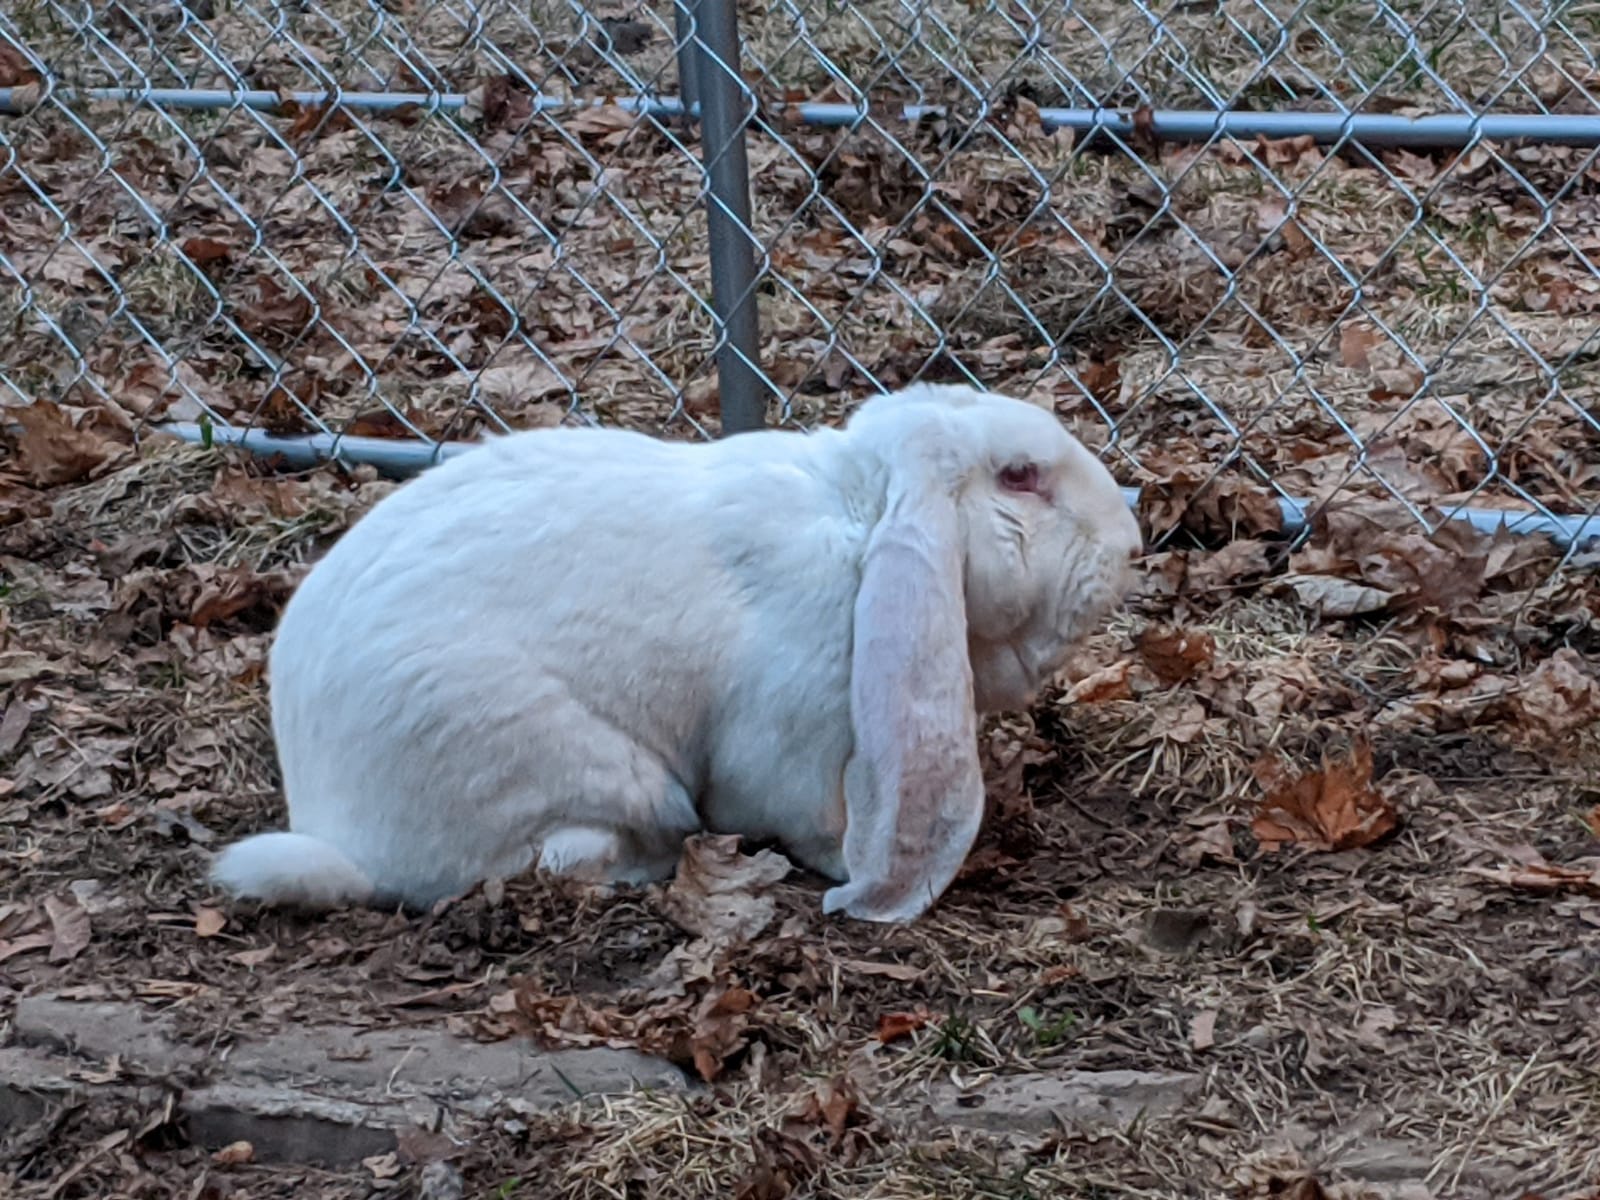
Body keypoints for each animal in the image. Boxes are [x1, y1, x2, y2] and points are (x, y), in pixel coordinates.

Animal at [208, 382, 1143, 924]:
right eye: (1021, 477)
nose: (1130, 543)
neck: (862, 523)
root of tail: (336, 832)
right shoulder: (795, 747)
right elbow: (813, 820)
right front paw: (850, 873)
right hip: (587, 772)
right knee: (542, 860)